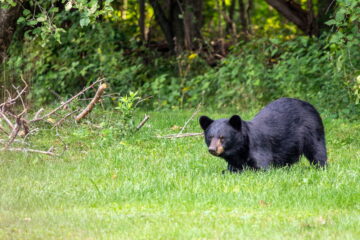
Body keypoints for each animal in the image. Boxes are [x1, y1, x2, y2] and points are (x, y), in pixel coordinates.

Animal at [198, 97, 328, 172]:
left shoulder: (259, 149)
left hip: (312, 130)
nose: (212, 149)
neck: (240, 149)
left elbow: (261, 167)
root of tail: (310, 105)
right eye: (210, 137)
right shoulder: (235, 160)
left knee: (317, 151)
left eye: (222, 137)